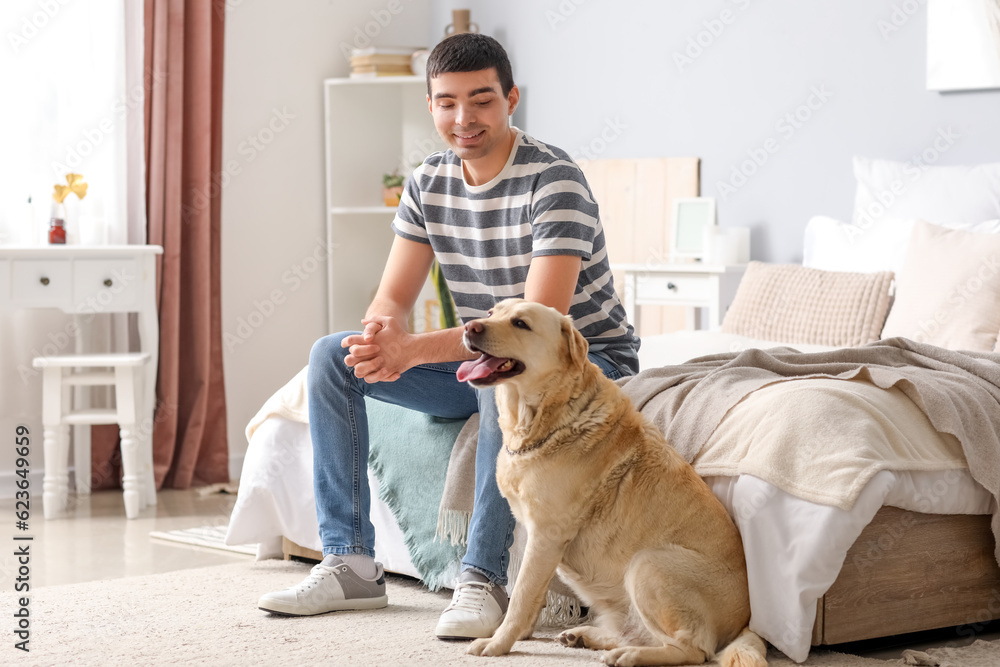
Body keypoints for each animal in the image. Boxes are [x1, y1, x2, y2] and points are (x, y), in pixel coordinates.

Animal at [458, 302, 764, 667]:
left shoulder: (546, 535)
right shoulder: (531, 535)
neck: (546, 420)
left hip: (646, 566)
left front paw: (499, 642)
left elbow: (521, 595)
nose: (470, 327)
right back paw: (587, 636)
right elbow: (530, 590)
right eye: (492, 313)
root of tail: (746, 623)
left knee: (693, 650)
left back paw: (629, 654)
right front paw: (522, 633)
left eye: (520, 323)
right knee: (640, 632)